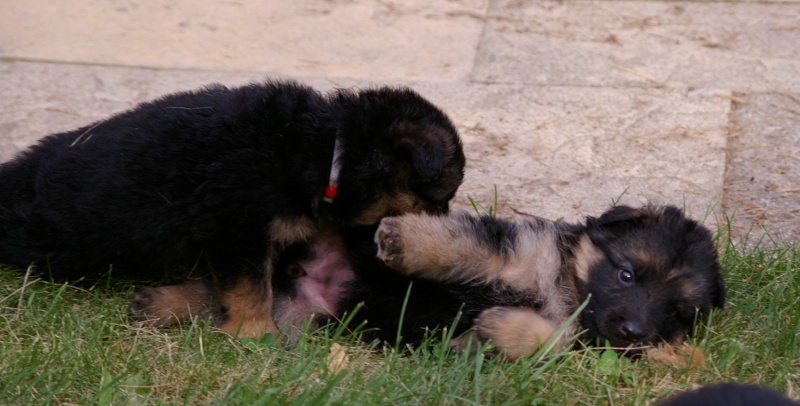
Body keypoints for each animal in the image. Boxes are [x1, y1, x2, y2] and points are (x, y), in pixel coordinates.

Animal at [0, 80, 466, 340]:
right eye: (438, 199)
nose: (445, 229)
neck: (329, 148)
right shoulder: (237, 224)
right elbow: (250, 287)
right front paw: (255, 334)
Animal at [376, 206, 724, 358]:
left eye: (674, 311)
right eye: (626, 275)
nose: (633, 332)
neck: (565, 290)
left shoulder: (580, 337)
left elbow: (553, 338)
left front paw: (500, 328)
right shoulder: (515, 255)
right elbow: (462, 244)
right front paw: (403, 241)